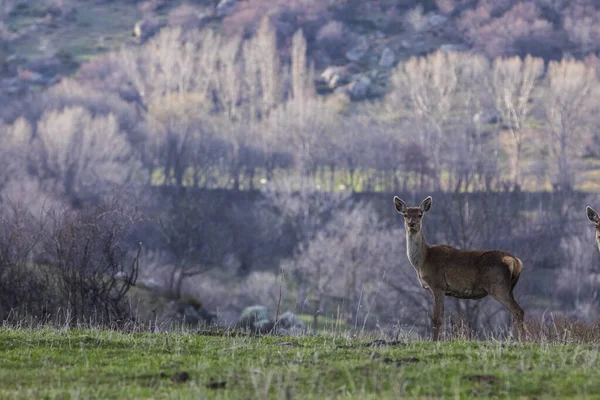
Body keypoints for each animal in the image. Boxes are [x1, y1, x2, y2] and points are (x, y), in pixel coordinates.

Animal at [394, 195, 524, 340]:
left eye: (420, 214)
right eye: (405, 214)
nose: (412, 224)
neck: (423, 260)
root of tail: (516, 261)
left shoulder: (438, 285)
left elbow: (437, 318)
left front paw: (434, 340)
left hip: (497, 285)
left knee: (518, 311)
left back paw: (523, 340)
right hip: (510, 288)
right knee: (515, 312)